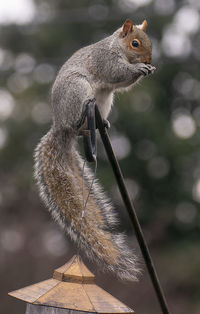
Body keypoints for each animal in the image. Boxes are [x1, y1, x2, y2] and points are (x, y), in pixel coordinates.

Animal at [34, 18, 155, 280]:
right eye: (135, 43)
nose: (149, 60)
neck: (116, 47)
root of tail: (60, 126)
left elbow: (121, 82)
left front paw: (147, 69)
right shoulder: (104, 60)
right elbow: (117, 72)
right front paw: (139, 69)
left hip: (105, 100)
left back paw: (102, 125)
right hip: (79, 90)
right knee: (77, 122)